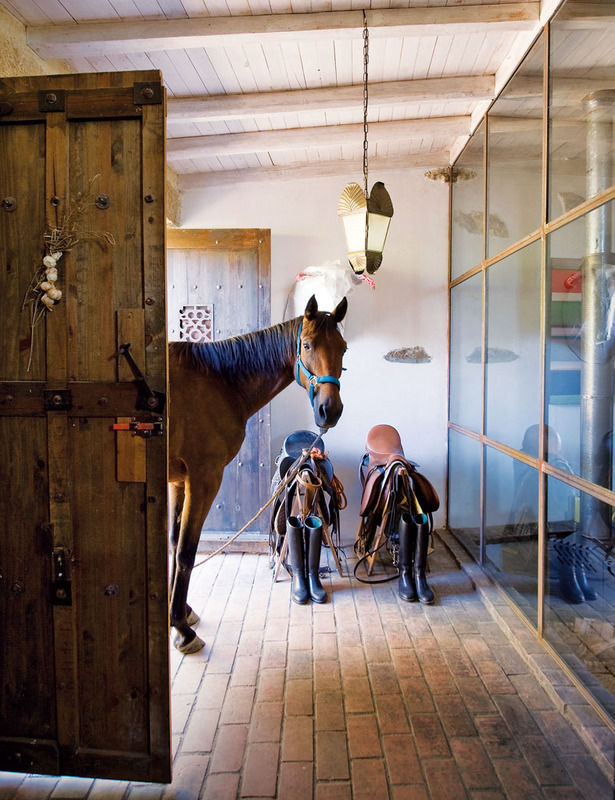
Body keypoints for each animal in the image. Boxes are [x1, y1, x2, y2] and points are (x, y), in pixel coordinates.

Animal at [168, 296, 348, 652]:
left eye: (344, 348)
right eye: (307, 345)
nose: (329, 411)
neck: (219, 381)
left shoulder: (179, 481)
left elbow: (172, 544)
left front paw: (178, 614)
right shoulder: (202, 478)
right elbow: (185, 551)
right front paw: (181, 628)